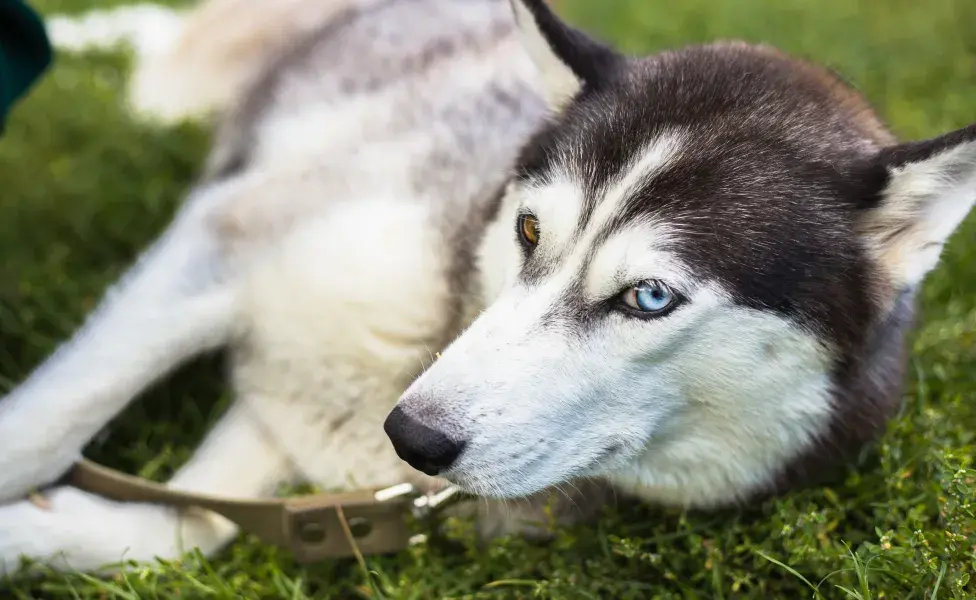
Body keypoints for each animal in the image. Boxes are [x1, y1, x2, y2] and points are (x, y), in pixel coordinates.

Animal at [1, 0, 976, 580]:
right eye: (531, 230)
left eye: (649, 299)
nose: (411, 435)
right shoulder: (229, 238)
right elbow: (41, 427)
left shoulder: (297, 433)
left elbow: (184, 531)